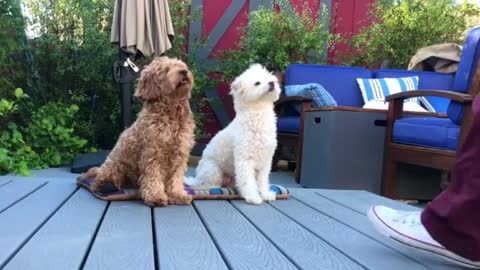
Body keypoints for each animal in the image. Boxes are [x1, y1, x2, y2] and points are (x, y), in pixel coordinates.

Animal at [81, 56, 195, 206]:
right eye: (165, 70)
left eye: (182, 66)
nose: (184, 72)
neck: (171, 114)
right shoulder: (153, 153)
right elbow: (153, 177)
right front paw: (155, 196)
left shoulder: (180, 154)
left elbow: (175, 179)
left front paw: (177, 195)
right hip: (116, 166)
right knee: (98, 182)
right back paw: (105, 186)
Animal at [185, 63, 282, 205]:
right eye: (257, 83)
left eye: (270, 79)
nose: (272, 83)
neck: (259, 114)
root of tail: (196, 178)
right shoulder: (245, 159)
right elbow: (248, 181)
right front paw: (253, 197)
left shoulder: (265, 161)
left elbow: (262, 181)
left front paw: (265, 194)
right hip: (213, 170)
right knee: (208, 185)